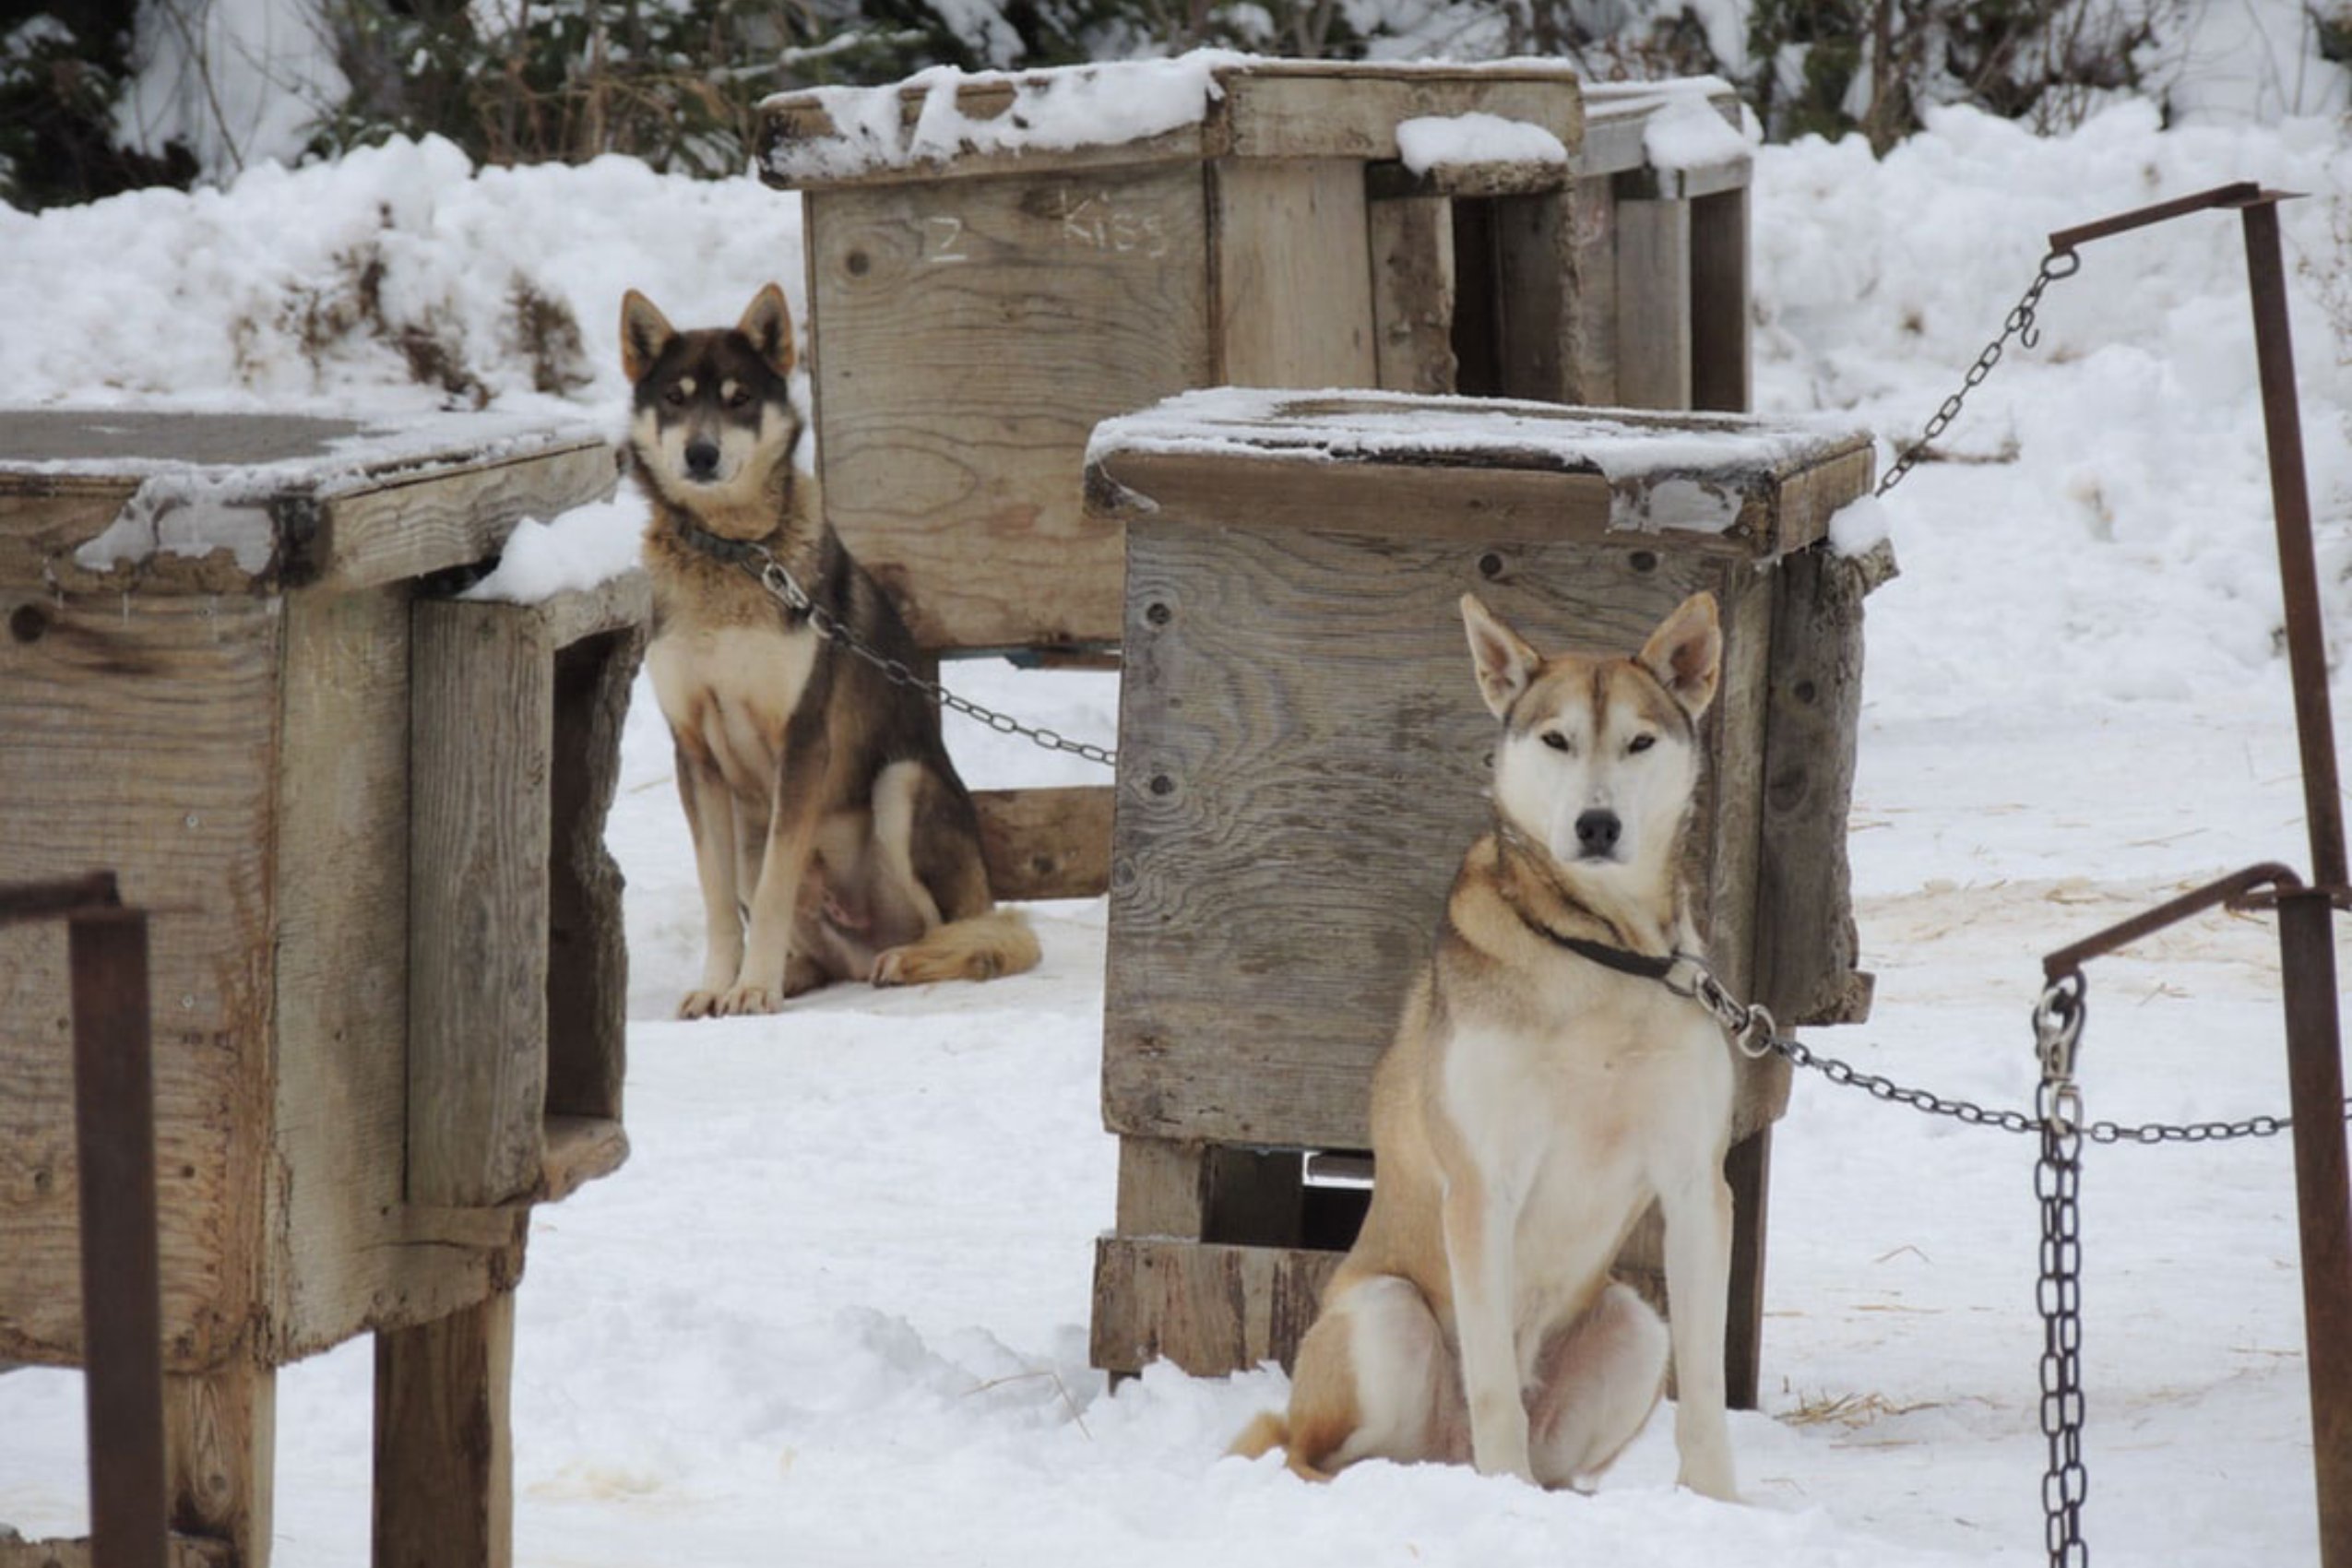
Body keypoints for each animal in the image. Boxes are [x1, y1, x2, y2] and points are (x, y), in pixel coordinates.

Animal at [625, 280, 1039, 1020]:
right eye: (674, 397)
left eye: (739, 398)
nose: (701, 455)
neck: (733, 555)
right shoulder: (694, 753)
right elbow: (719, 898)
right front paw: (721, 983)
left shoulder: (804, 738)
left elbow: (772, 890)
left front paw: (753, 987)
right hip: (749, 818)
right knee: (818, 949)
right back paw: (795, 971)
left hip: (902, 785)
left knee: (965, 933)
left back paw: (902, 960)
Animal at [1241, 588, 1740, 1494]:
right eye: (1556, 739)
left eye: (1640, 741)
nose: (1597, 823)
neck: (1598, 951)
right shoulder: (1482, 1186)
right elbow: (1494, 1386)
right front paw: (1502, 1497)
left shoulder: (1695, 1185)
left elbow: (1708, 1387)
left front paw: (1719, 1505)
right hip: (1385, 1317)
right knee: (1313, 1451)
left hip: (1631, 1324)